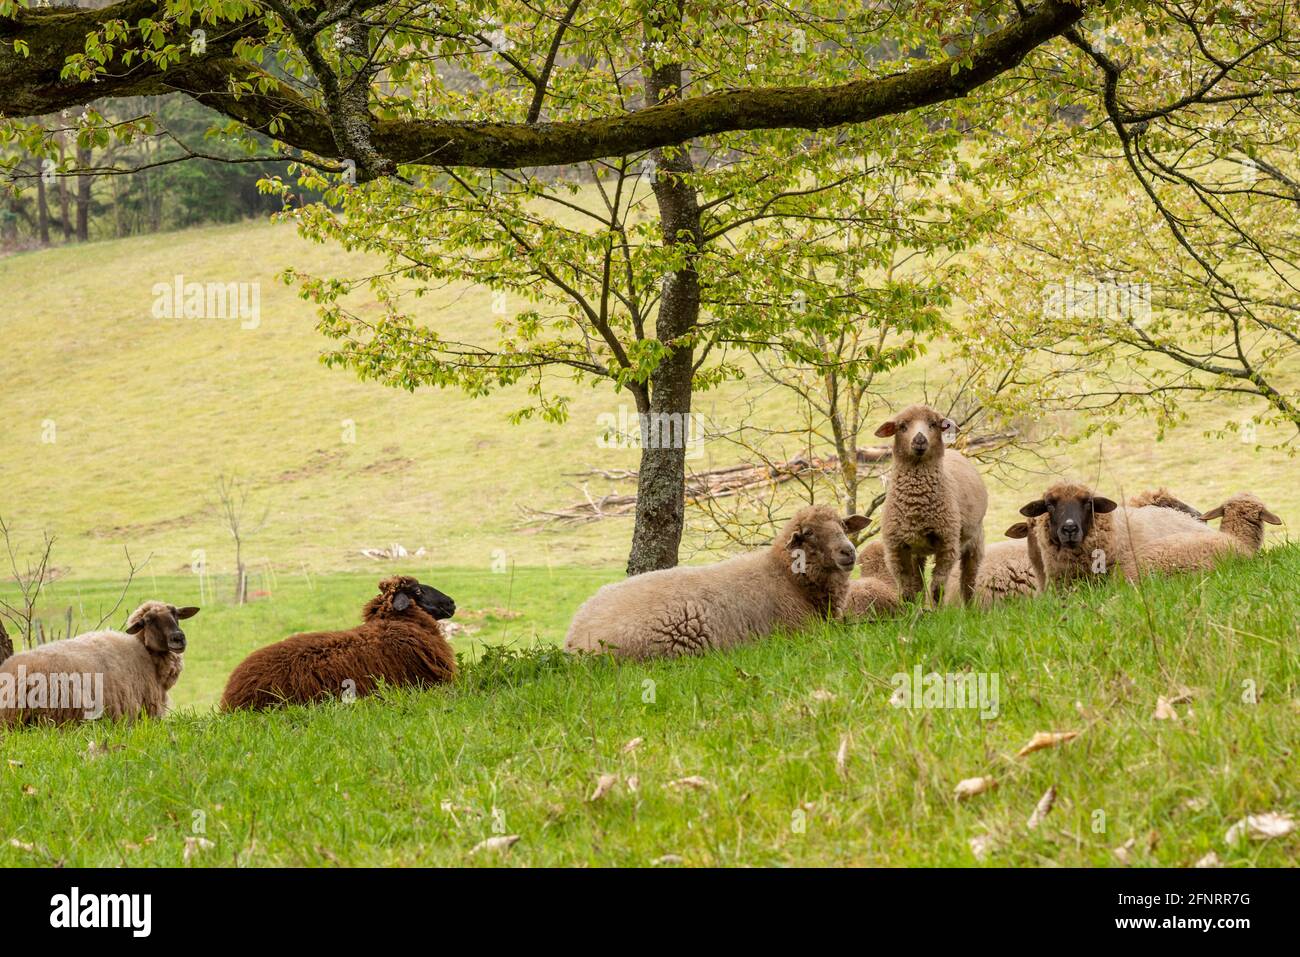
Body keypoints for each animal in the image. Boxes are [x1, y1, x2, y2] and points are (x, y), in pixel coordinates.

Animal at [566, 504, 863, 660]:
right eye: (809, 533)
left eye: (843, 525)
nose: (848, 551)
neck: (787, 576)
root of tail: (572, 638)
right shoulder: (801, 632)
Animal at [878, 405, 987, 605]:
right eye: (902, 426)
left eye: (933, 424)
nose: (920, 439)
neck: (916, 504)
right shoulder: (896, 549)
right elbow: (907, 592)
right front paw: (911, 612)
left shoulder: (948, 544)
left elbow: (938, 588)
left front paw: (937, 610)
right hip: (916, 550)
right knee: (918, 582)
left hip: (975, 538)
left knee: (969, 579)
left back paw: (969, 607)